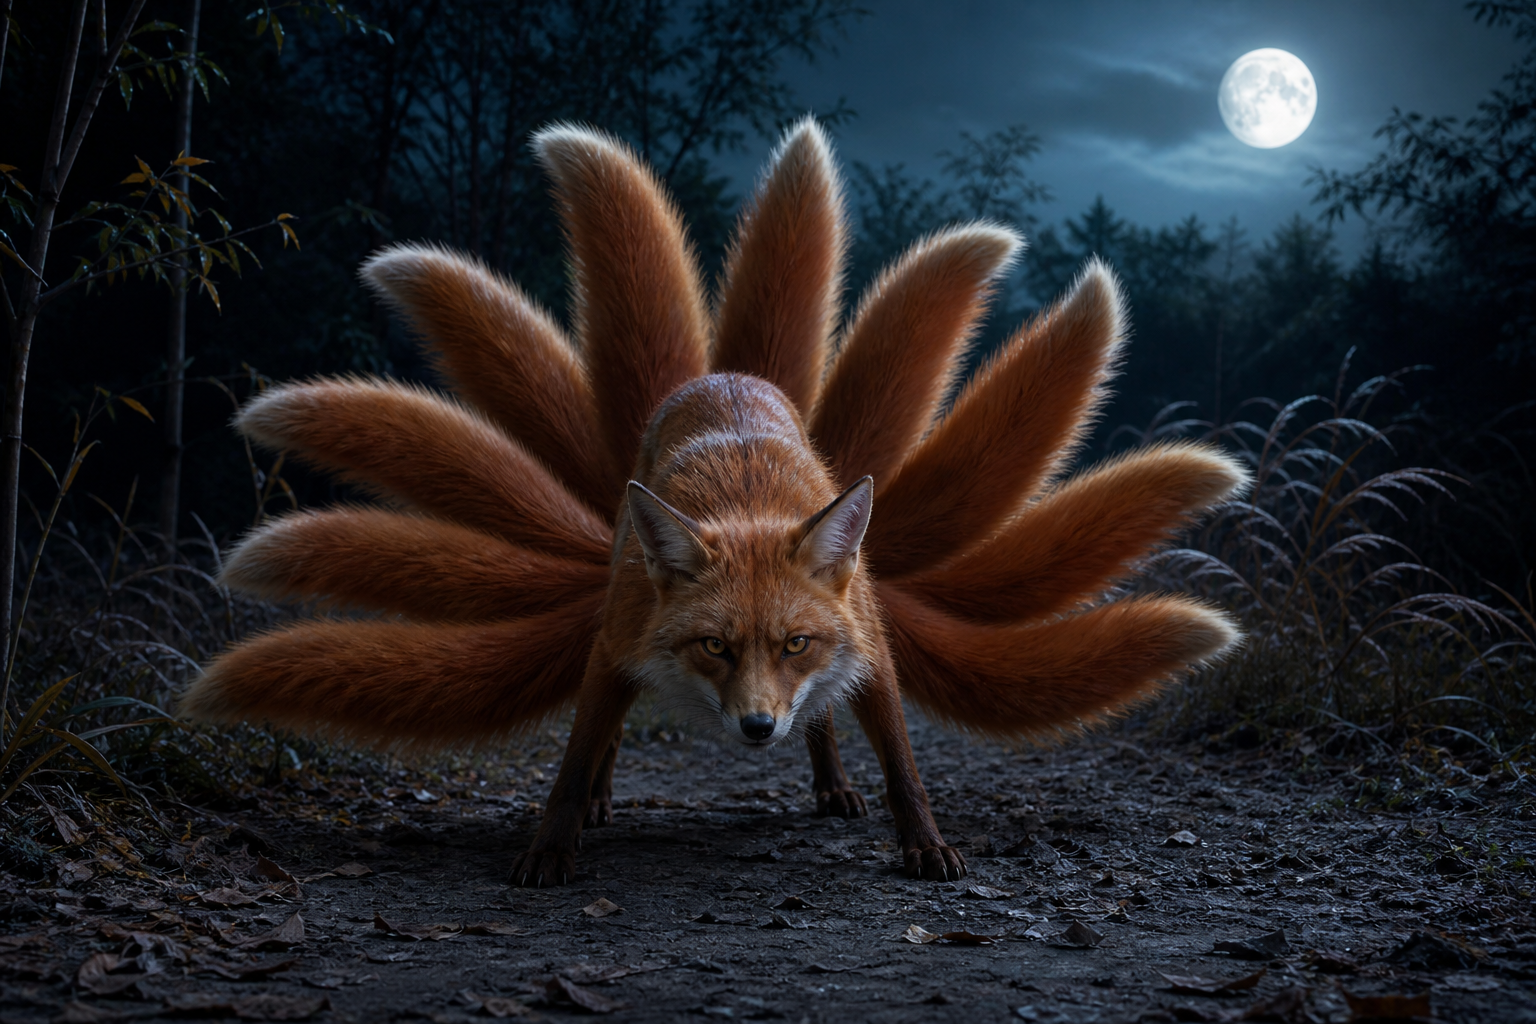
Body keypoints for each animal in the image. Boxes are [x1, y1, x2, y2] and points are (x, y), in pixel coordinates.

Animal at [180, 117, 1248, 886]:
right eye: (713, 647)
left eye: (794, 644)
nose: (755, 730)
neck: (748, 498)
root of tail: (724, 368)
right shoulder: (617, 645)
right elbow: (575, 755)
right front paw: (553, 843)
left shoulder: (867, 648)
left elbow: (901, 762)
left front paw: (921, 843)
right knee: (606, 732)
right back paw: (612, 797)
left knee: (827, 727)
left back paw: (828, 782)